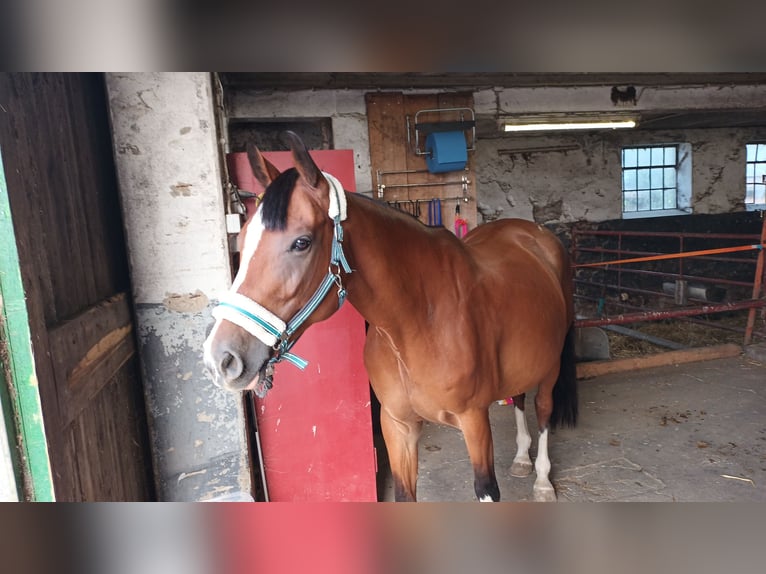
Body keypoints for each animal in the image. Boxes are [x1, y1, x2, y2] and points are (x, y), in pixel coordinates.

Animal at [204, 133, 576, 502]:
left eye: (301, 242)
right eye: (243, 238)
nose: (221, 359)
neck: (415, 322)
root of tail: (533, 233)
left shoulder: (475, 421)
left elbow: (487, 488)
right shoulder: (397, 426)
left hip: (551, 366)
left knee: (542, 408)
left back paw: (542, 481)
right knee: (519, 398)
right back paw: (521, 459)